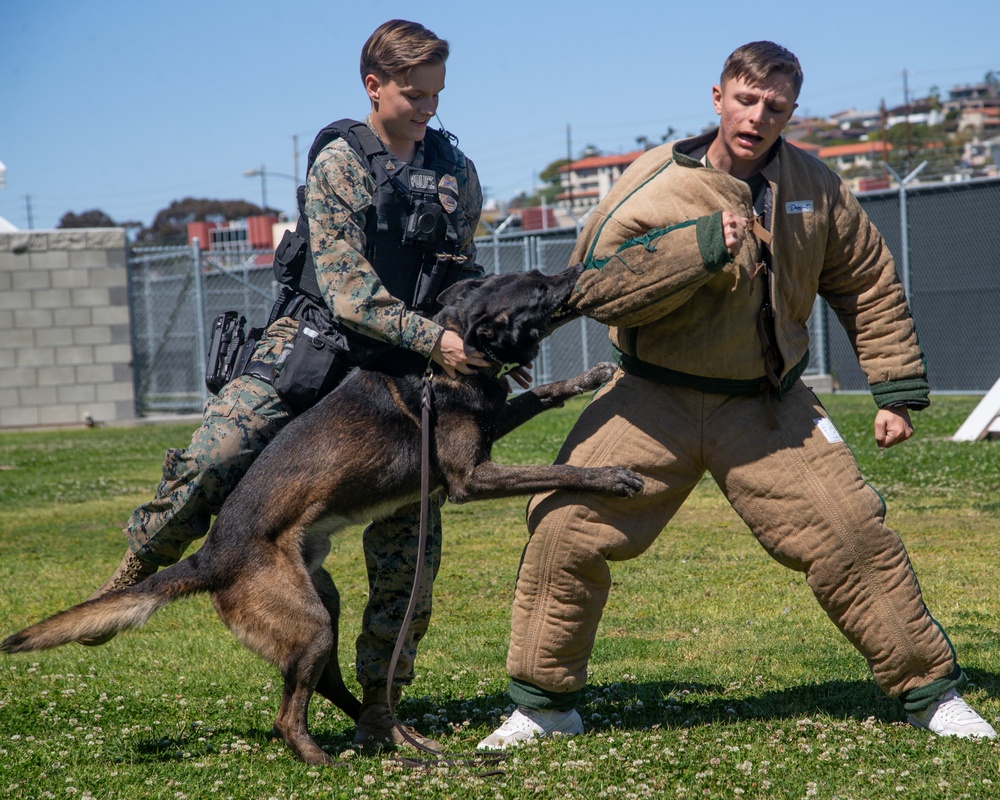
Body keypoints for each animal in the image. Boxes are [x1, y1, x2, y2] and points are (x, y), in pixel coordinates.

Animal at [0, 260, 644, 764]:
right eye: (537, 289)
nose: (576, 270)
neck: (448, 357)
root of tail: (209, 557)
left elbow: (540, 393)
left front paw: (588, 376)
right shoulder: (471, 478)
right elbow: (560, 470)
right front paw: (611, 476)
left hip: (322, 601)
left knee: (329, 680)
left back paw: (395, 735)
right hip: (306, 620)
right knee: (289, 714)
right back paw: (325, 759)